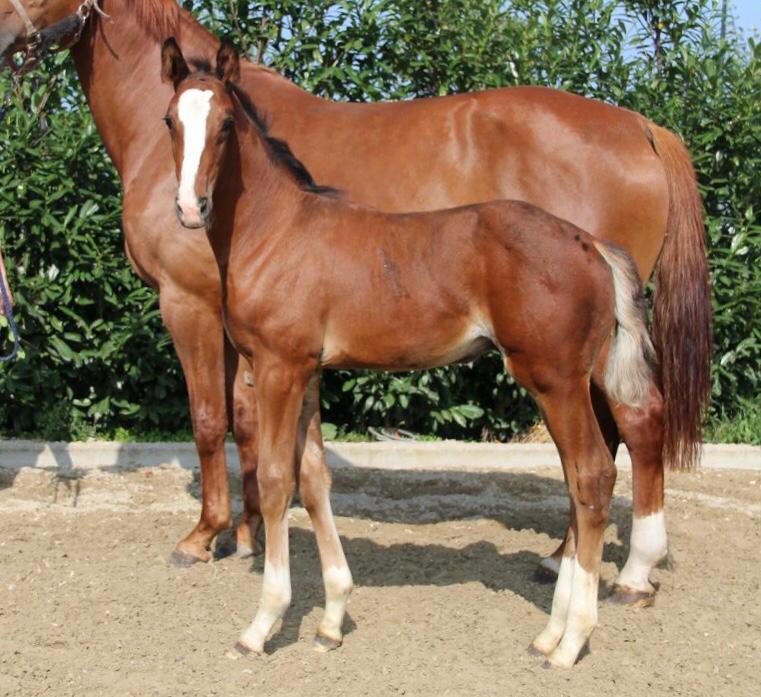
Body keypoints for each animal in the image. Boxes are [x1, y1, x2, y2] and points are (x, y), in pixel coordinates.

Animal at [0, 0, 709, 604]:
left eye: (222, 126)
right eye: (169, 121)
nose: (3, 35)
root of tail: (643, 127)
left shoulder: (188, 305)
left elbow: (207, 419)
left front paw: (204, 537)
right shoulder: (249, 336)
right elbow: (249, 427)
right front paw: (249, 534)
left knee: (626, 432)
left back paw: (621, 571)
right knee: (621, 434)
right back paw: (578, 562)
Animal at [161, 38, 660, 668]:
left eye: (226, 123)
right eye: (169, 120)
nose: (190, 207)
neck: (277, 232)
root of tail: (591, 243)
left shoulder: (278, 367)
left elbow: (276, 481)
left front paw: (263, 624)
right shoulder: (309, 373)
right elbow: (315, 479)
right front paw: (331, 620)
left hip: (556, 379)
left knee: (592, 476)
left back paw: (570, 642)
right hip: (565, 383)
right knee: (579, 481)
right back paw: (550, 632)